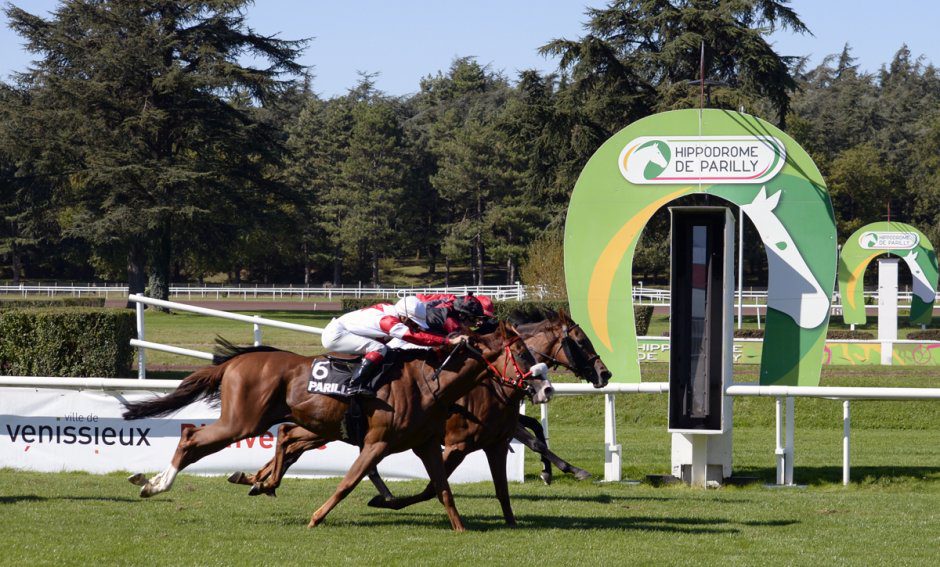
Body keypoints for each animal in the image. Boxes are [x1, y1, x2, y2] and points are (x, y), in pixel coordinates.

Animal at [124, 324, 552, 532]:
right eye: (522, 353)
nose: (544, 386)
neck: (430, 382)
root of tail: (235, 362)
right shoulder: (378, 442)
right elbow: (348, 482)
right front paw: (316, 518)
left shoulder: (430, 444)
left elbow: (443, 490)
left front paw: (461, 529)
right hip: (242, 421)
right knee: (191, 437)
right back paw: (155, 484)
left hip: (288, 422)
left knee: (280, 439)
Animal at [228, 310, 608, 528]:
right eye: (579, 341)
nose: (605, 373)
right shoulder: (458, 443)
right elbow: (433, 486)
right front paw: (566, 470)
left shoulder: (495, 439)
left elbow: (520, 455)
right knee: (309, 447)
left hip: (327, 428)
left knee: (292, 440)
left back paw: (256, 479)